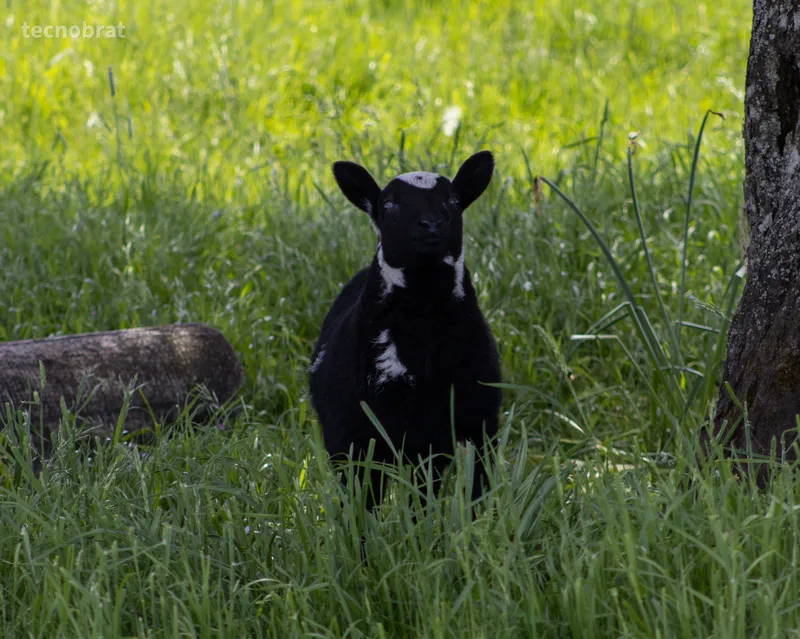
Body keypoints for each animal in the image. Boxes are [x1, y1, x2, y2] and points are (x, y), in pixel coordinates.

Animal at [309, 151, 501, 511]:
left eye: (454, 201)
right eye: (388, 206)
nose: (431, 224)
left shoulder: (477, 419)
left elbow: (473, 488)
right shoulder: (354, 431)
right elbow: (363, 500)